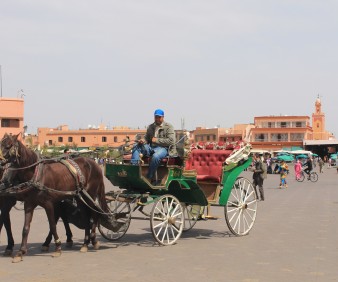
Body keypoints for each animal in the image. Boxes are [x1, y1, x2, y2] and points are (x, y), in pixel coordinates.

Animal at [0, 133, 108, 264]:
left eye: (8, 146)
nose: (0, 161)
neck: (36, 174)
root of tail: (94, 163)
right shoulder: (29, 203)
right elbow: (25, 228)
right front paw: (20, 252)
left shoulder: (48, 203)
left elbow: (52, 224)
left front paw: (57, 248)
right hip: (79, 196)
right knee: (85, 216)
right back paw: (85, 244)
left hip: (90, 194)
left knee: (94, 213)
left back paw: (94, 241)